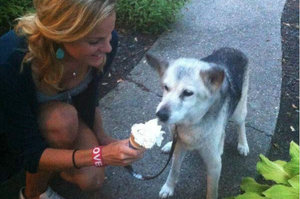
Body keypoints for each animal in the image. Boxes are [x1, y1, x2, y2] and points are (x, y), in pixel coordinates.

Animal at [146, 47, 250, 199]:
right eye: (166, 87)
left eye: (188, 93)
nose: (161, 114)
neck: (190, 125)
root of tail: (232, 49)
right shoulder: (179, 146)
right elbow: (174, 170)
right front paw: (168, 187)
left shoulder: (214, 163)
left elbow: (212, 191)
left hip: (239, 110)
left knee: (240, 124)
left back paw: (242, 144)